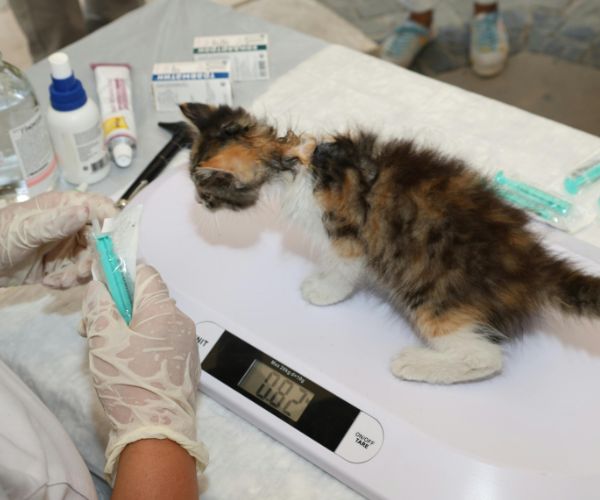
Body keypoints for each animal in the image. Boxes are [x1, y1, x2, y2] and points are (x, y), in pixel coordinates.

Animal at [180, 102, 600, 384]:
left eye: (205, 189)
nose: (198, 204)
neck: (294, 162)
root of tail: (533, 261)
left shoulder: (347, 236)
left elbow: (343, 271)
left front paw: (323, 290)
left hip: (433, 294)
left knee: (485, 356)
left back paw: (415, 364)